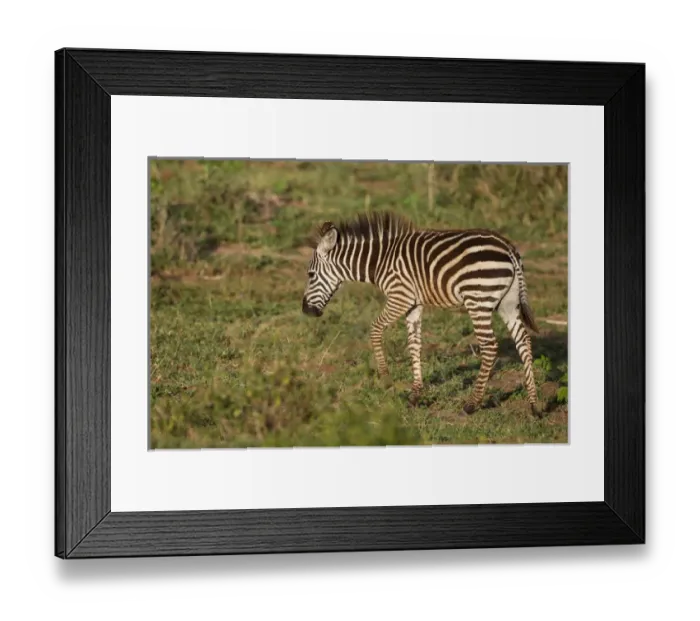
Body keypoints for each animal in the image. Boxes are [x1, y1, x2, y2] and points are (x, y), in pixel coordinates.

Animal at [301, 211, 541, 417]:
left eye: (310, 274)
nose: (306, 310)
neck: (380, 261)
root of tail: (508, 247)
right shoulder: (413, 304)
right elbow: (414, 344)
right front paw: (416, 394)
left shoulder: (400, 297)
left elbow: (375, 330)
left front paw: (386, 380)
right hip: (507, 302)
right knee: (524, 341)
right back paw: (534, 405)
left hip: (478, 300)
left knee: (490, 346)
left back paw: (472, 404)